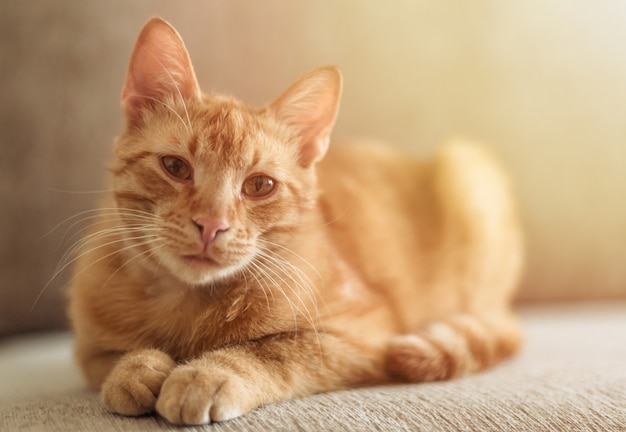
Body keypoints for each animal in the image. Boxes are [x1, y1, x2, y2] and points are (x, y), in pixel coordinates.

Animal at [67, 17, 520, 426]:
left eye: (259, 185)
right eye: (175, 167)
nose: (211, 224)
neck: (187, 305)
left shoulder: (360, 334)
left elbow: (274, 351)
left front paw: (208, 374)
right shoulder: (87, 348)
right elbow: (109, 359)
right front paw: (134, 369)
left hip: (468, 173)